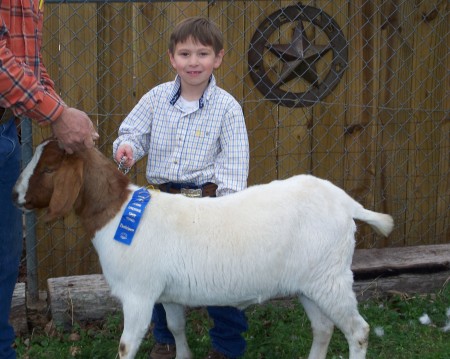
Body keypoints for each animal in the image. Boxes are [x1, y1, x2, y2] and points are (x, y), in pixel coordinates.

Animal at [13, 140, 394, 359]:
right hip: (309, 283)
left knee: (358, 331)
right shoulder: (166, 294)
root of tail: (347, 204)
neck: (118, 212)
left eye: (49, 169)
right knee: (324, 328)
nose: (16, 195)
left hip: (330, 278)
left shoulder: (138, 295)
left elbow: (126, 346)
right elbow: (176, 327)